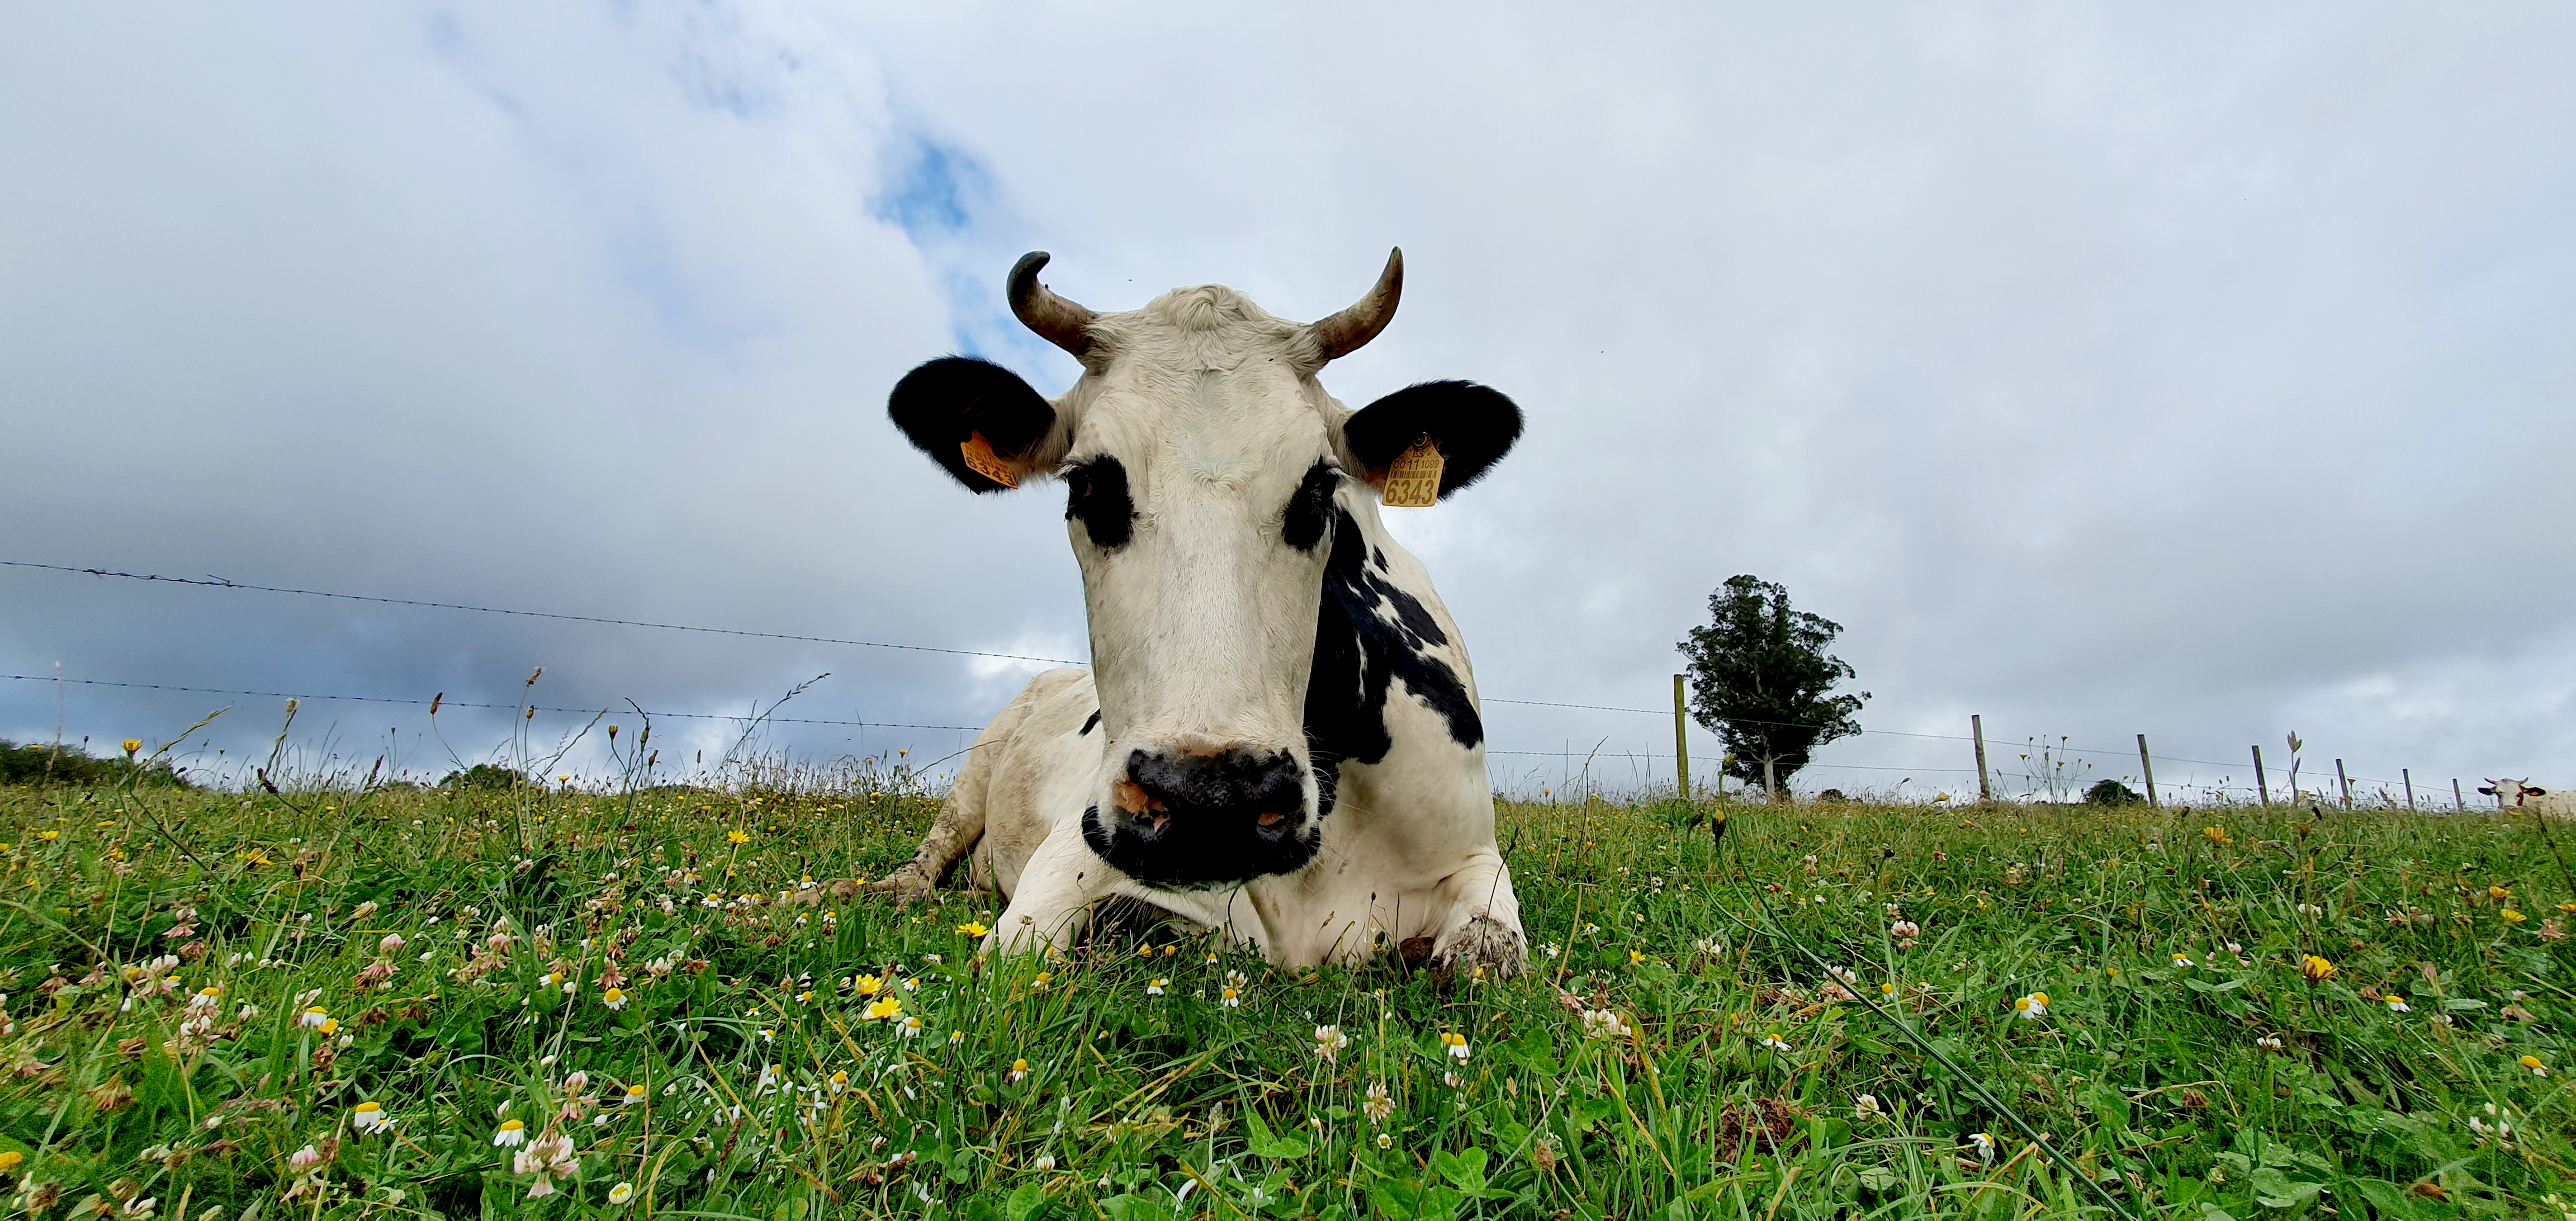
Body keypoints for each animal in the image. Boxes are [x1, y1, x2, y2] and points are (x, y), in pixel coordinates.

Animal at [867, 249, 1529, 978]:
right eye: (1087, 483)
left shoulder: (1476, 856)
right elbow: (1016, 954)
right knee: (933, 852)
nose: (1212, 800)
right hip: (980, 761)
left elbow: (1489, 952)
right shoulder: (1079, 844)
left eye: (1320, 486)